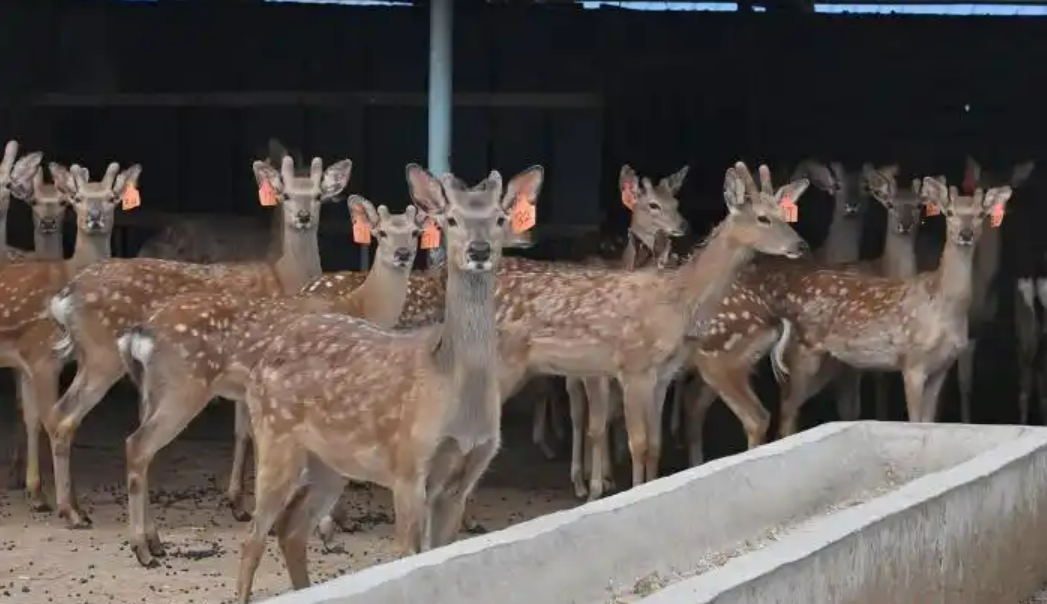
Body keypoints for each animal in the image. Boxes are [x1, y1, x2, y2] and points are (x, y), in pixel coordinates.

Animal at [0, 161, 141, 511]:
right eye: (76, 198)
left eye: (112, 198)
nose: (94, 217)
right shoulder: (41, 353)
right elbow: (51, 420)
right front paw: (61, 501)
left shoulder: (30, 361)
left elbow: (33, 417)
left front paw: (37, 493)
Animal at [45, 154, 352, 528]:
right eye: (286, 195)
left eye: (319, 196)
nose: (304, 217)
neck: (285, 278)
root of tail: (65, 296)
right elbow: (253, 434)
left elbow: (242, 432)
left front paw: (236, 502)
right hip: (103, 355)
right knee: (65, 418)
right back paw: (72, 512)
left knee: (59, 415)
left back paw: (74, 506)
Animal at [118, 197, 427, 567]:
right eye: (381, 232)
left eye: (415, 231)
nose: (402, 254)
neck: (361, 306)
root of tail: (139, 334)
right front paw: (327, 531)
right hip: (183, 387)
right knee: (138, 446)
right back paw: (142, 549)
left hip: (152, 390)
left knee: (143, 449)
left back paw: (155, 542)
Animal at [233, 163, 541, 603]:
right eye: (450, 219)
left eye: (499, 217)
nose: (479, 250)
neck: (453, 393)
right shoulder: (408, 464)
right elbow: (407, 556)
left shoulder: (464, 477)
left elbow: (442, 555)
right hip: (277, 439)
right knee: (254, 537)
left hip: (330, 463)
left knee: (291, 528)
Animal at [771, 176, 1013, 432]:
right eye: (949, 212)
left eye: (980, 214)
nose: (965, 234)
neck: (944, 309)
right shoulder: (912, 361)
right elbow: (915, 420)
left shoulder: (942, 367)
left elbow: (929, 421)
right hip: (802, 352)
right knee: (787, 408)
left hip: (830, 364)